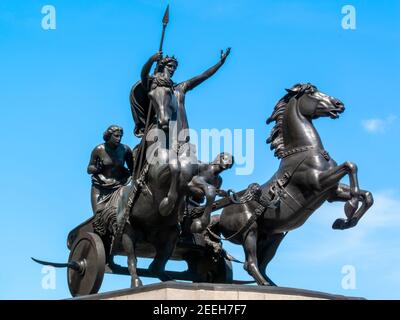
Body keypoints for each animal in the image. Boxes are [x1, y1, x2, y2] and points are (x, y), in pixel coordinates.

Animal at [212, 82, 376, 284]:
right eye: (311, 92)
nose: (339, 104)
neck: (306, 150)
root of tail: (220, 215)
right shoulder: (318, 182)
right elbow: (350, 166)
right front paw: (350, 208)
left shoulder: (331, 192)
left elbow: (366, 194)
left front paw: (345, 222)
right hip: (249, 232)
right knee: (250, 263)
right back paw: (265, 284)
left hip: (272, 237)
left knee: (262, 265)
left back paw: (273, 285)